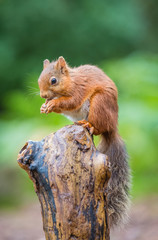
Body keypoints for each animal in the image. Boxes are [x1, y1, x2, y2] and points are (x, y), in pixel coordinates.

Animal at [37, 56, 130, 227]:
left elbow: (71, 101)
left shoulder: (79, 89)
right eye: (39, 79)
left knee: (98, 127)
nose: (42, 95)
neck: (71, 81)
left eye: (53, 80)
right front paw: (44, 106)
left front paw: (53, 103)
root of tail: (112, 126)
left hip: (99, 104)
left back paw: (88, 125)